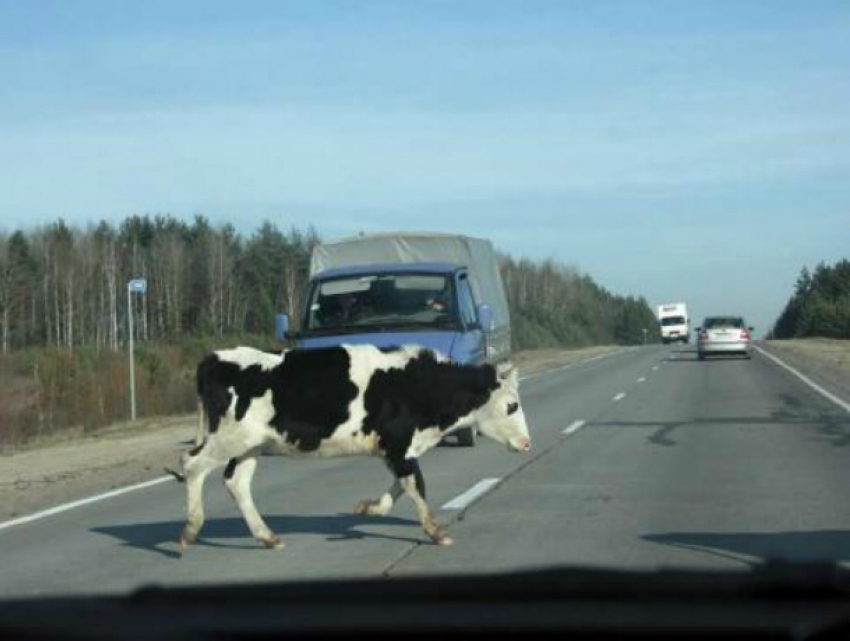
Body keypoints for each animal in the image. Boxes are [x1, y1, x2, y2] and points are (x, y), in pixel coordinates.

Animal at [174, 344, 528, 552]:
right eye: (512, 406)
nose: (527, 443)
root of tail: (214, 358)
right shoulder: (399, 443)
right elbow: (416, 486)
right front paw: (437, 532)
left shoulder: (397, 448)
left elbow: (400, 486)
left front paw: (368, 508)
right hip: (229, 438)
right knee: (192, 464)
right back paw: (190, 531)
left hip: (250, 445)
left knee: (236, 481)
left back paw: (267, 536)